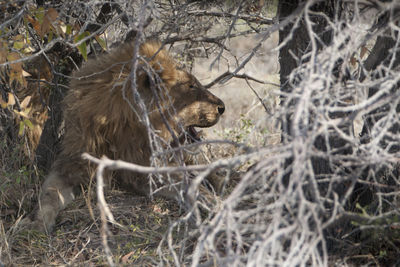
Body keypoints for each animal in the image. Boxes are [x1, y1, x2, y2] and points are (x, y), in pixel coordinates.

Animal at [29, 39, 225, 232]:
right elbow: (49, 194)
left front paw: (214, 201)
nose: (222, 107)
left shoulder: (142, 169)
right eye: (191, 86)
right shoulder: (73, 165)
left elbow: (187, 182)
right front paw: (38, 224)